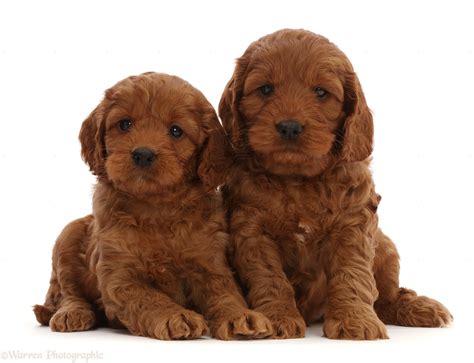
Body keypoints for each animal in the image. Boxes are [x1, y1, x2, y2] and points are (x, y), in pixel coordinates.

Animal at [33, 72, 272, 342]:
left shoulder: (210, 264)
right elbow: (150, 298)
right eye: (124, 124)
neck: (156, 207)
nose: (143, 154)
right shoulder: (120, 277)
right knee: (68, 291)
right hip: (68, 235)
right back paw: (72, 313)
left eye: (176, 131)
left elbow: (225, 293)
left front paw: (240, 315)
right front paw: (176, 316)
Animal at [218, 29, 452, 340]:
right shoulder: (252, 231)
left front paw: (356, 320)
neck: (298, 179)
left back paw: (419, 308)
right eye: (266, 89)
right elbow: (269, 276)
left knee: (387, 298)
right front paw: (278, 317)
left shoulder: (353, 225)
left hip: (386, 247)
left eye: (320, 92)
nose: (289, 127)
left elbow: (351, 273)